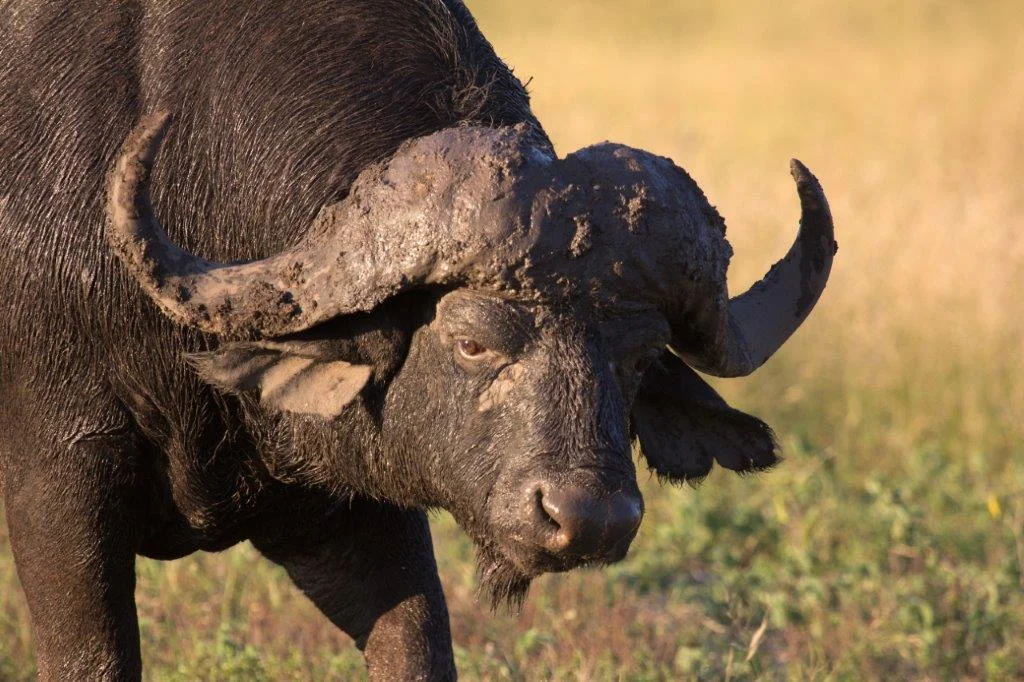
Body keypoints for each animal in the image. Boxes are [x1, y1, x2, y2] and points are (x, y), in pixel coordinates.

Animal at [0, 1, 835, 680]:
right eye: (470, 343)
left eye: (634, 360)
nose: (589, 518)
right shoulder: (59, 487)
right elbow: (95, 659)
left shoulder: (351, 510)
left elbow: (420, 647)